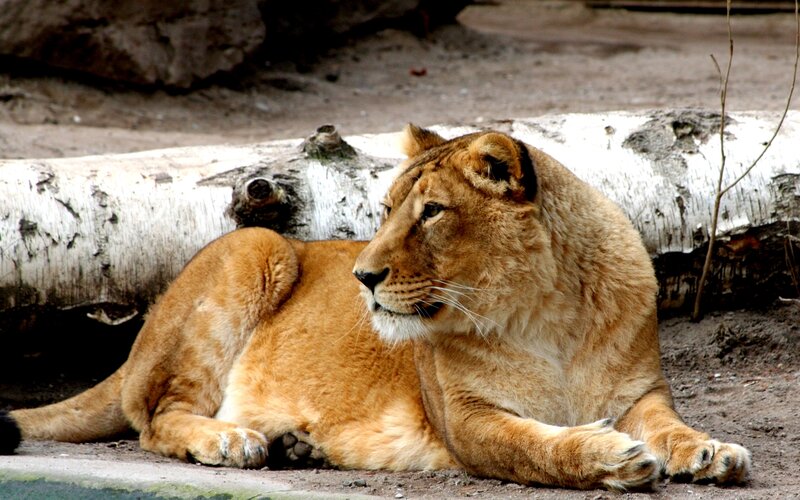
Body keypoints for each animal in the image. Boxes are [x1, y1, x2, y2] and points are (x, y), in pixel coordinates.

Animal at [0, 125, 750, 490]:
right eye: (387, 209)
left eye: (432, 213)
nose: (362, 276)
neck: (547, 316)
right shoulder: (468, 422)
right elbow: (537, 447)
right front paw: (610, 457)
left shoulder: (640, 393)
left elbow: (671, 425)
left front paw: (710, 451)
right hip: (257, 246)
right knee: (155, 418)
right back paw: (232, 440)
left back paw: (295, 444)